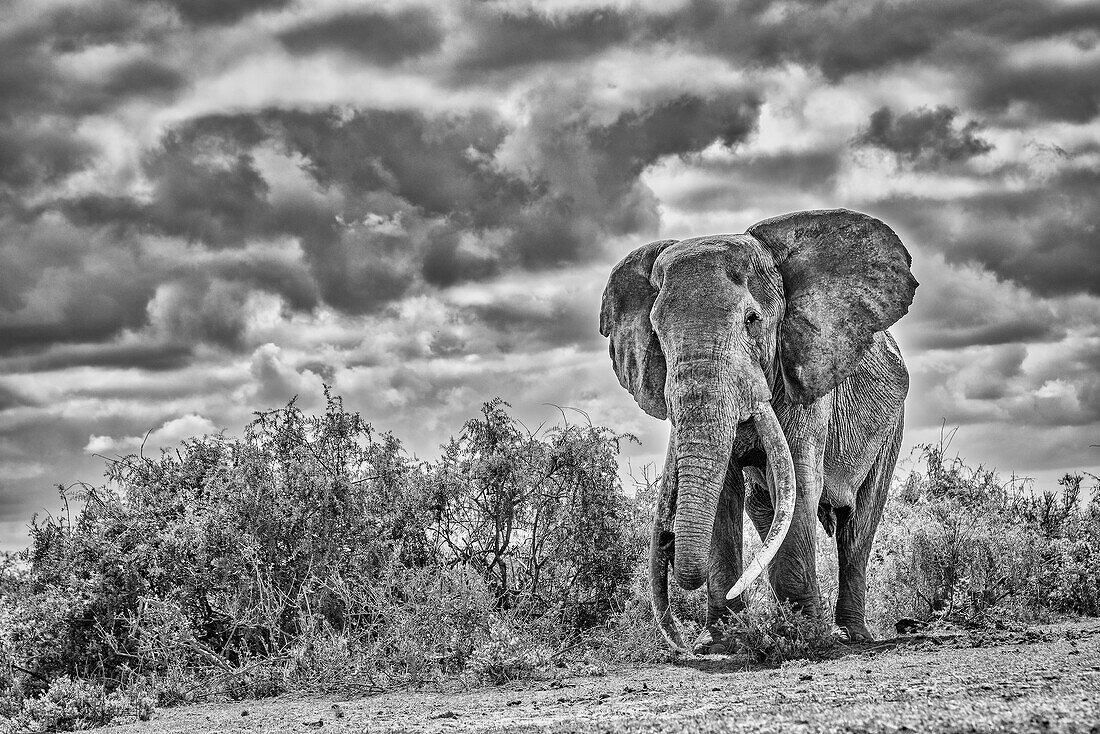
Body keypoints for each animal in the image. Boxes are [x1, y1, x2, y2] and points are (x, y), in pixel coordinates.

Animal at [598, 207, 915, 655]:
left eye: (752, 320)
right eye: (656, 333)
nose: (669, 545)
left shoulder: (805, 374)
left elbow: (802, 479)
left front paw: (806, 637)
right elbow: (726, 493)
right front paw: (721, 642)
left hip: (892, 425)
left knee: (858, 525)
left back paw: (851, 634)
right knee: (767, 509)